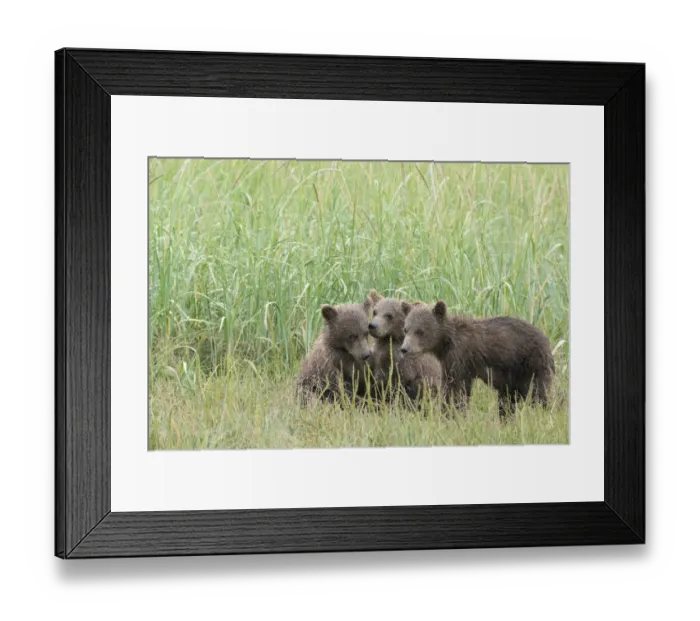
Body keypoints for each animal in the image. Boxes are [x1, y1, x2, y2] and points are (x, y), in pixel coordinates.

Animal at [399, 300, 555, 421]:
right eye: (406, 329)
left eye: (420, 331)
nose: (405, 349)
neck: (446, 343)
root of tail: (546, 339)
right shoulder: (452, 363)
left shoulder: (459, 358)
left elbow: (455, 390)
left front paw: (450, 414)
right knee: (507, 401)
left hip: (530, 363)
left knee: (539, 393)